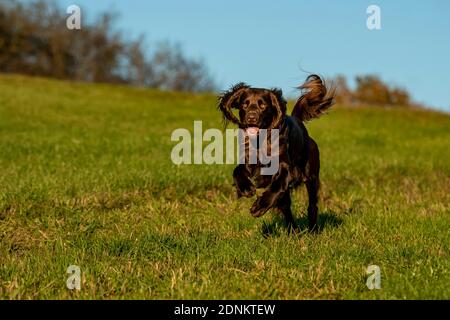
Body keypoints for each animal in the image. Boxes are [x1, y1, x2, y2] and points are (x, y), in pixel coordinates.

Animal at [218, 76, 334, 234]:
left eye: (263, 105)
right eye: (244, 104)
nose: (251, 117)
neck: (260, 140)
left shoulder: (285, 168)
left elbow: (277, 186)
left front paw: (259, 207)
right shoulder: (248, 161)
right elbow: (237, 171)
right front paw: (246, 188)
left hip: (311, 177)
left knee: (312, 206)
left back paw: (313, 231)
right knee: (286, 208)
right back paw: (293, 231)